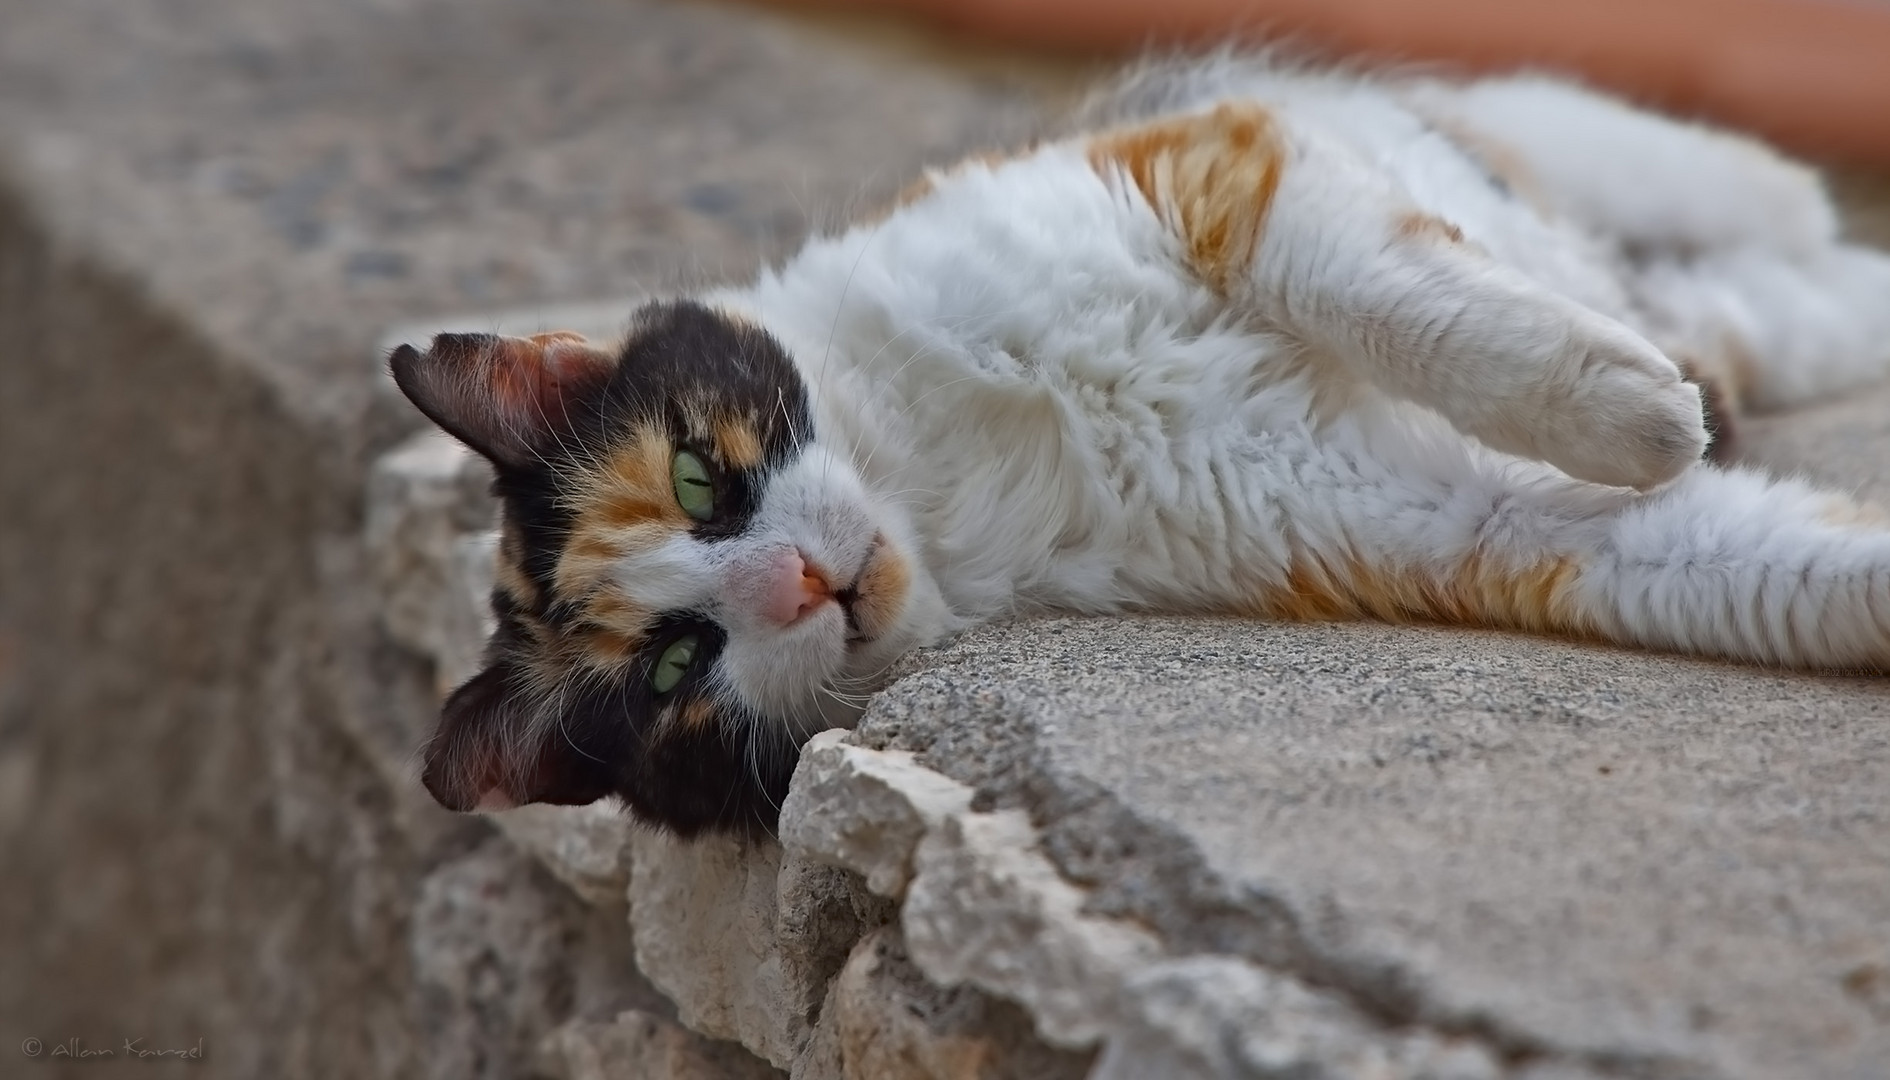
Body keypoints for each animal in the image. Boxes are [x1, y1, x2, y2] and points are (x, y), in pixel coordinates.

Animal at [387, 56, 1890, 836]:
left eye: (701, 477)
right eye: (673, 670)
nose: (796, 583)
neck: (948, 459)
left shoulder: (1217, 170)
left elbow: (1406, 307)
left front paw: (1631, 412)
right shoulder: (1458, 523)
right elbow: (1722, 560)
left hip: (1633, 164)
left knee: (1771, 215)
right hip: (1775, 312)